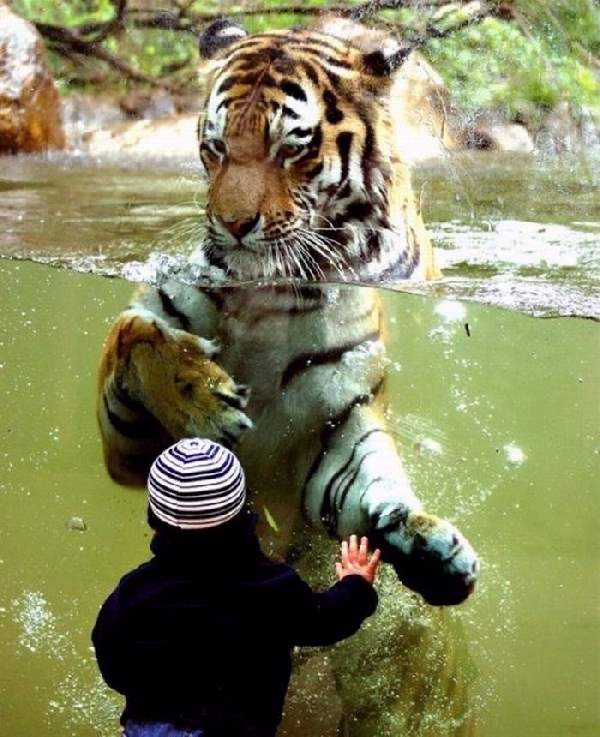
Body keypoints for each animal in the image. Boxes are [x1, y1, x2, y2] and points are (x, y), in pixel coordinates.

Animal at [99, 17, 482, 736]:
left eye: (291, 150)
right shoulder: (129, 449)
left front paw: (429, 546)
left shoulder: (337, 434)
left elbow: (374, 487)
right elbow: (135, 334)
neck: (263, 301)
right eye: (216, 147)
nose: (233, 226)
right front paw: (206, 405)